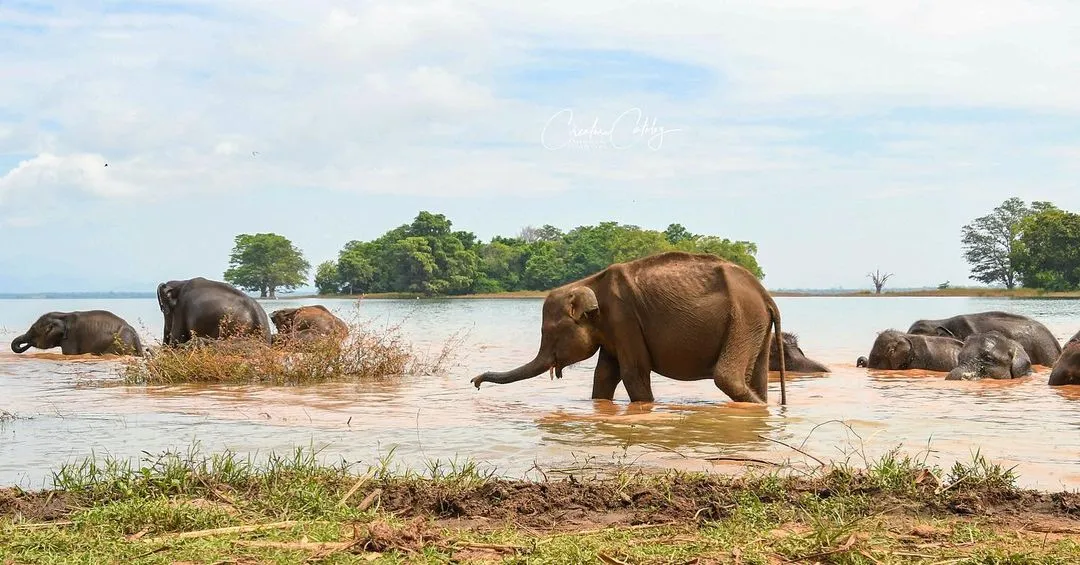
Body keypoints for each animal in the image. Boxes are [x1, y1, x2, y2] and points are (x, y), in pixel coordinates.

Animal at [468, 252, 790, 406]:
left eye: (552, 332)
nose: (475, 382)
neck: (590, 282)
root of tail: (767, 297)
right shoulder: (612, 330)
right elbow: (604, 376)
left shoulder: (624, 319)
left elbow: (632, 373)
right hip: (754, 326)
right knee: (757, 376)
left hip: (743, 319)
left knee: (727, 378)